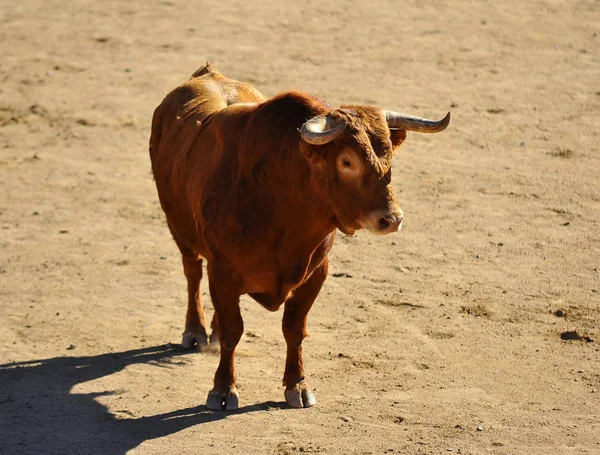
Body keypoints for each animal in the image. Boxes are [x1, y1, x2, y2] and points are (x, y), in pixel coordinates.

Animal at [150, 63, 450, 410]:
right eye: (346, 161)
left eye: (389, 156)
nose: (391, 219)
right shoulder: (223, 271)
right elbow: (232, 331)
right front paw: (223, 390)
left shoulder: (316, 273)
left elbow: (293, 330)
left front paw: (298, 385)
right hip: (179, 230)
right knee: (192, 274)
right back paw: (196, 331)